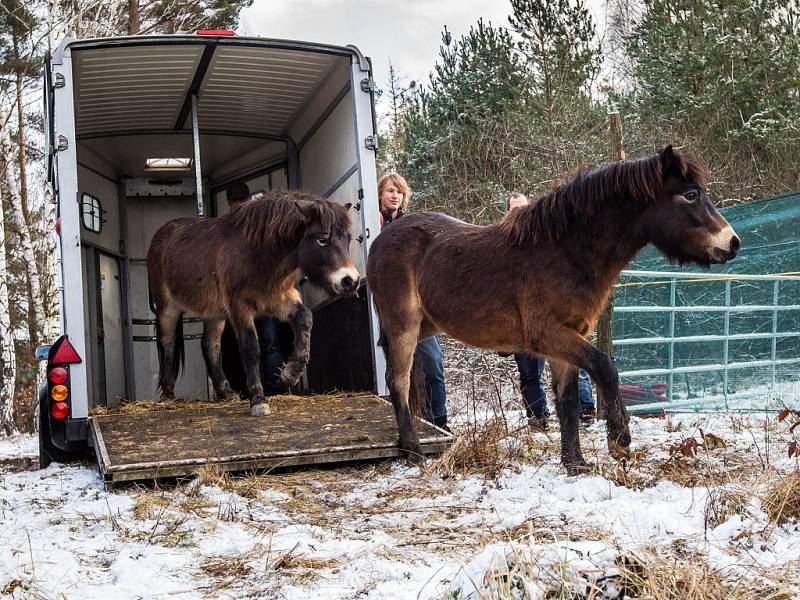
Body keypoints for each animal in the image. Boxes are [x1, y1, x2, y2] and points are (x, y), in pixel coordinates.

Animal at [148, 190, 360, 414]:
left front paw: (289, 374)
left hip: (215, 314)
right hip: (168, 309)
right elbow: (251, 348)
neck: (259, 255)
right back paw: (168, 394)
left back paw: (226, 392)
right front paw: (258, 400)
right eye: (322, 239)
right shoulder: (240, 307)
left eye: (347, 239)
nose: (351, 281)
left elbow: (305, 317)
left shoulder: (278, 299)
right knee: (168, 343)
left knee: (210, 345)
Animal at [368, 148, 736, 472]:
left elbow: (567, 401)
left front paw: (574, 463)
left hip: (425, 328)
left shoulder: (568, 338)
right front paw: (619, 439)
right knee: (398, 382)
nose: (733, 243)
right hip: (403, 327)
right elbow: (605, 368)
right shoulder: (548, 334)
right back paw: (413, 452)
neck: (564, 252)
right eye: (690, 195)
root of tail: (381, 240)